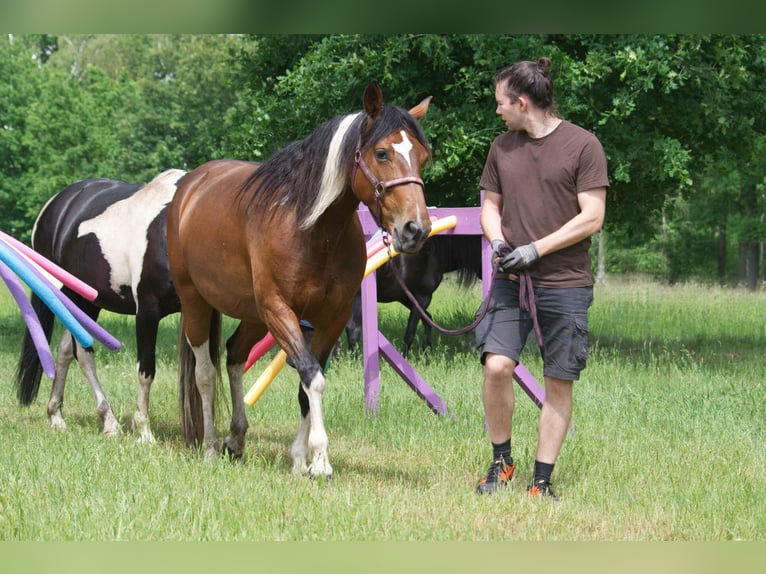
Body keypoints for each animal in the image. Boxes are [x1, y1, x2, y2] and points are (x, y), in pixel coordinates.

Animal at [14, 169, 185, 444]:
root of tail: (57, 203)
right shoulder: (148, 311)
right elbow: (146, 370)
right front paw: (144, 433)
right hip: (74, 298)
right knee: (83, 353)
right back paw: (109, 421)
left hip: (87, 303)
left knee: (65, 349)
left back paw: (56, 415)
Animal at [168, 81, 432, 476]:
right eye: (382, 152)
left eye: (423, 156)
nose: (416, 229)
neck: (311, 229)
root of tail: (190, 187)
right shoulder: (280, 310)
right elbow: (311, 376)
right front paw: (320, 459)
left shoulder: (332, 318)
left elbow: (307, 383)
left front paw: (299, 457)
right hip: (197, 303)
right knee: (205, 373)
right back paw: (212, 446)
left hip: (252, 315)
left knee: (234, 356)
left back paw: (237, 438)